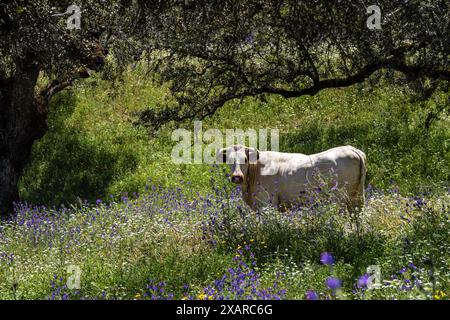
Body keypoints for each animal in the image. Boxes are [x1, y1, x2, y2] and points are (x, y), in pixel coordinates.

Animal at [216, 145, 368, 212]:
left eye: (246, 159)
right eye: (228, 160)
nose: (237, 177)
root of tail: (351, 149)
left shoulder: (267, 204)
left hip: (339, 199)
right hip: (357, 198)